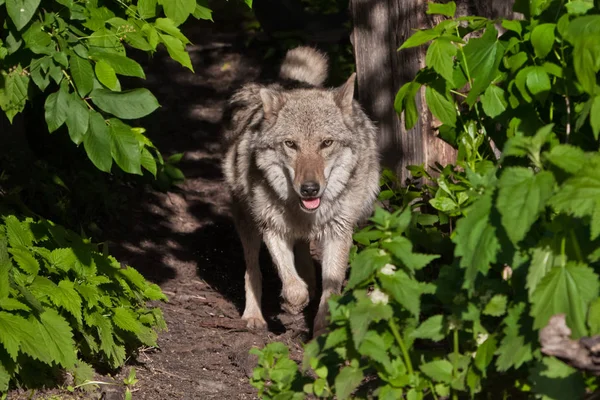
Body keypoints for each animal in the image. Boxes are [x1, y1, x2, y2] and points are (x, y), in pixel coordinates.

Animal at [220, 45, 380, 336]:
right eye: (291, 144)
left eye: (326, 143)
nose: (309, 189)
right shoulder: (271, 226)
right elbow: (293, 286)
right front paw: (294, 303)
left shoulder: (339, 231)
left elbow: (331, 287)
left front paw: (322, 330)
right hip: (248, 222)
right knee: (252, 269)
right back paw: (254, 316)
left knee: (304, 250)